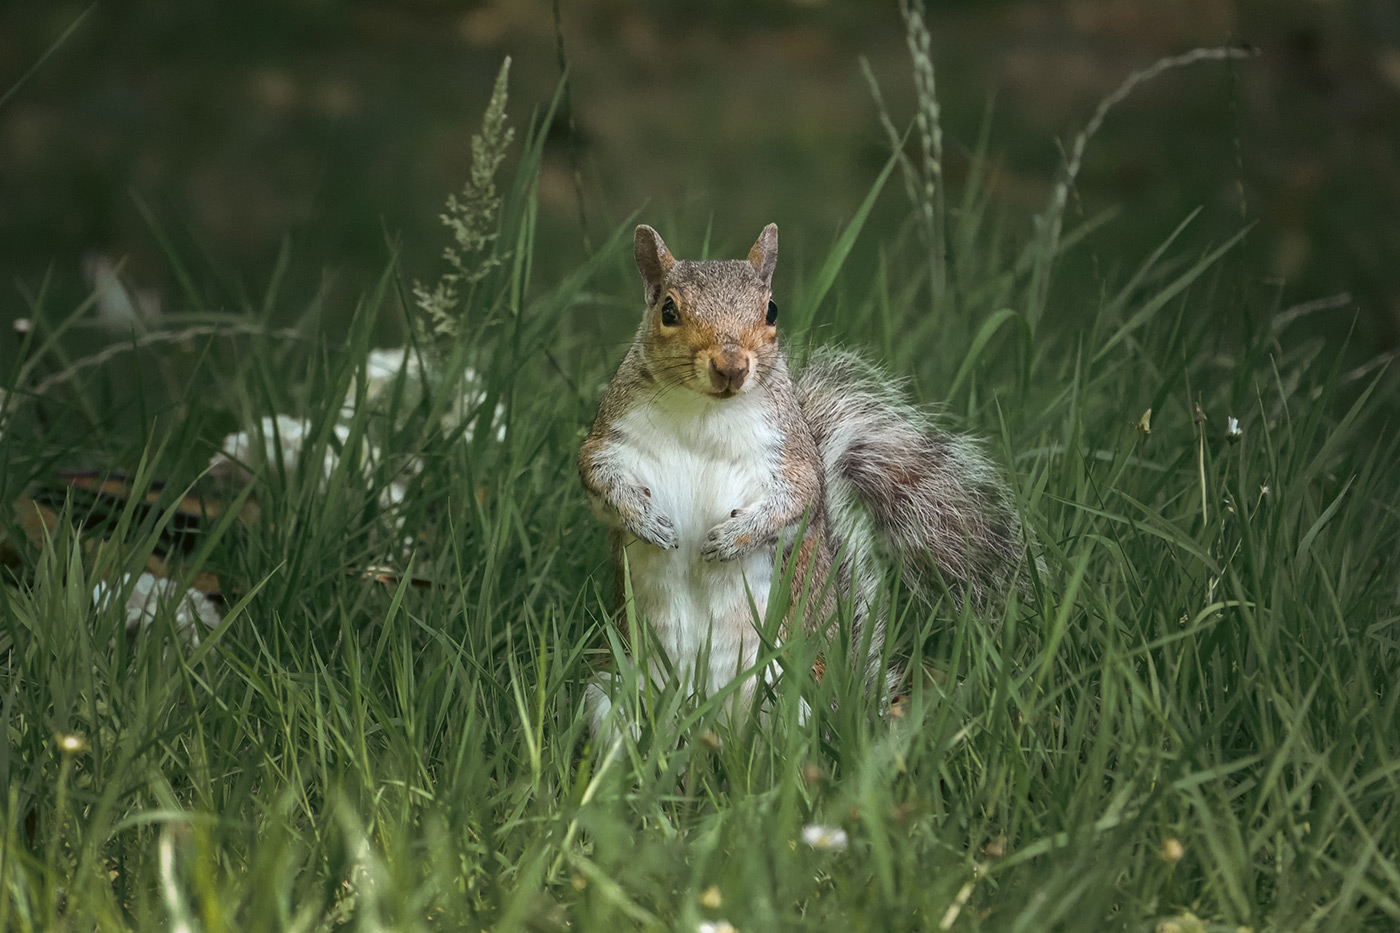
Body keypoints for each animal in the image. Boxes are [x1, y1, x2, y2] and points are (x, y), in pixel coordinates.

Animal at [577, 223, 1024, 735]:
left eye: (771, 309)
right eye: (668, 311)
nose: (731, 367)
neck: (705, 412)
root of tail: (705, 717)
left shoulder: (792, 458)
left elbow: (797, 502)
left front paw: (732, 539)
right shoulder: (610, 441)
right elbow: (598, 478)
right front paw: (645, 520)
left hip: (793, 701)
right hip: (614, 690)